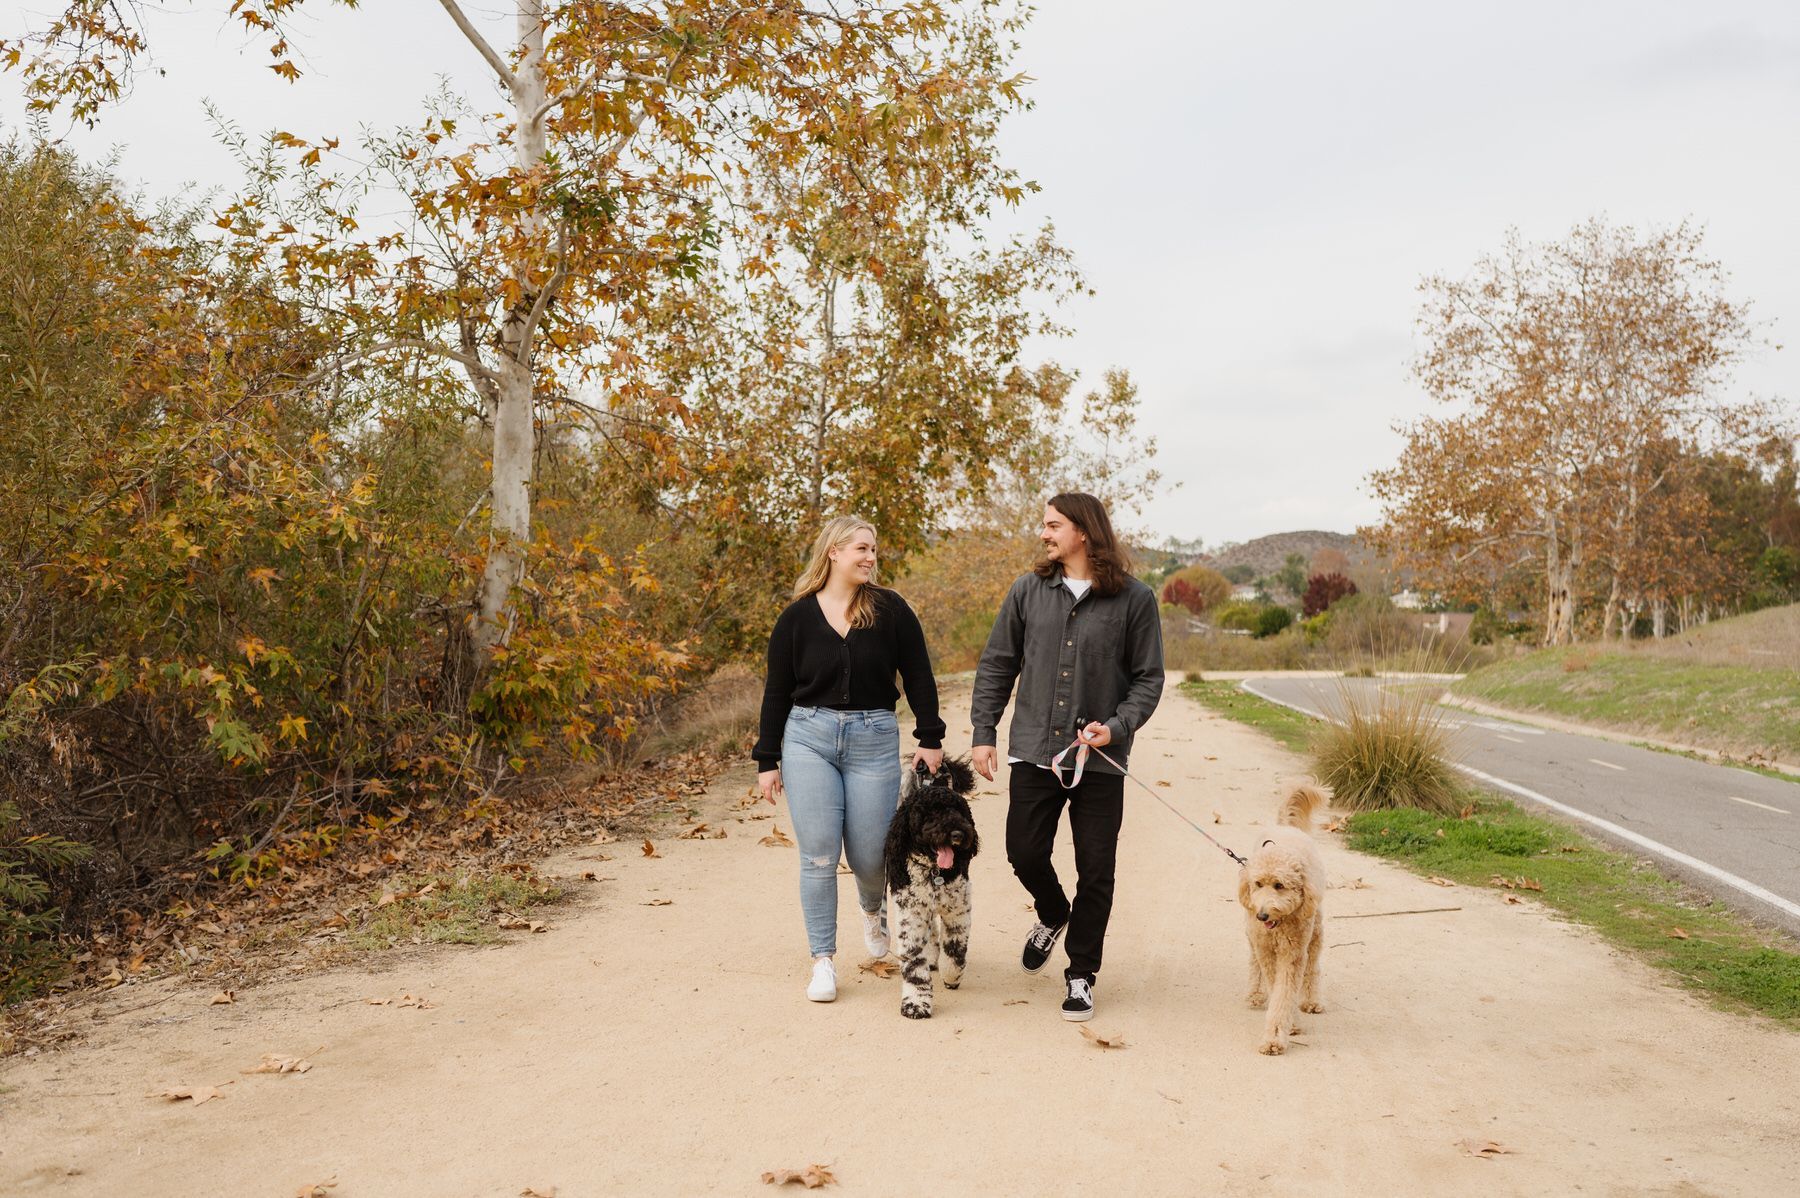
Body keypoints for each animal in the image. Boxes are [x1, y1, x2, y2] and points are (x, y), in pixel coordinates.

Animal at [882, 755, 979, 1014]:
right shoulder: (911, 914)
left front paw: (951, 975)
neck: (934, 871)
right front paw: (916, 1003)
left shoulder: (959, 910)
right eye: (930, 813)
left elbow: (955, 950)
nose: (957, 834)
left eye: (959, 810)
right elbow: (914, 964)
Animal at [1231, 787, 1332, 1050]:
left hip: (1316, 931)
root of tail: (1285, 827)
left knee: (1313, 966)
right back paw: (1255, 993)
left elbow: (1284, 992)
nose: (1262, 914)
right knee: (1254, 961)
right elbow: (1274, 984)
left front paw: (1278, 1034)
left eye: (1279, 885)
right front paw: (1286, 1027)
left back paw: (1311, 1000)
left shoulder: (1293, 954)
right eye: (1258, 884)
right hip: (1252, 935)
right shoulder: (1265, 949)